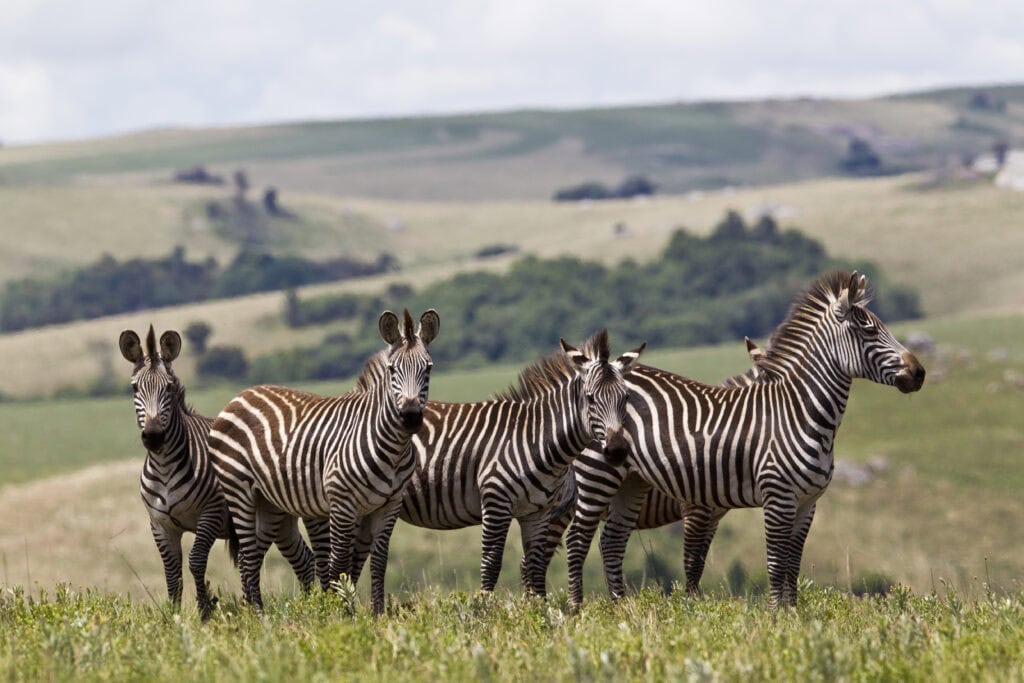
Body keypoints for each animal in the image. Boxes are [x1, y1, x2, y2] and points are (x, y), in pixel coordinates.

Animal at [119, 325, 239, 619]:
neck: (164, 467)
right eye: (134, 388)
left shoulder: (210, 513)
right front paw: (174, 617)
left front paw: (205, 611)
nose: (153, 436)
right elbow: (172, 574)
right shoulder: (160, 524)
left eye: (169, 387)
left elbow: (196, 562)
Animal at [208, 309, 439, 614]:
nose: (410, 417)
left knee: (252, 556)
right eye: (392, 370)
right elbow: (339, 563)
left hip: (266, 502)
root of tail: (239, 396)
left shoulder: (389, 505)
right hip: (238, 489)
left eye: (428, 369)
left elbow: (378, 562)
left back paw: (252, 612)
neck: (393, 449)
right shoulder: (342, 501)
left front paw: (377, 614)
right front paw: (343, 613)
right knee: (247, 555)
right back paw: (257, 614)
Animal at [388, 330, 644, 597]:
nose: (617, 451)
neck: (534, 438)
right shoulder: (496, 503)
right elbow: (491, 564)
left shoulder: (538, 513)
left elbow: (536, 567)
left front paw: (538, 607)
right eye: (590, 398)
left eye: (626, 398)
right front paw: (485, 605)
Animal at [562, 271, 926, 608]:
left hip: (630, 481)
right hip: (597, 476)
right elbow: (768, 565)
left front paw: (794, 617)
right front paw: (773, 618)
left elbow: (792, 567)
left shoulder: (806, 503)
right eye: (870, 331)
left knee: (611, 542)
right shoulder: (765, 498)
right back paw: (579, 611)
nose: (919, 372)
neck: (798, 413)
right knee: (578, 541)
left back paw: (619, 610)